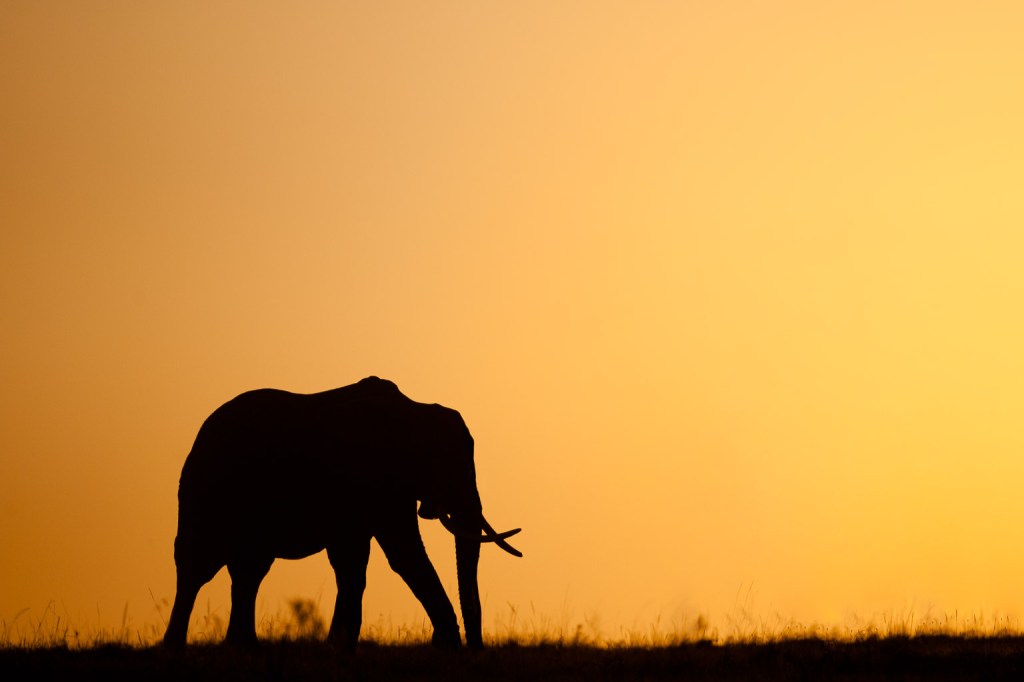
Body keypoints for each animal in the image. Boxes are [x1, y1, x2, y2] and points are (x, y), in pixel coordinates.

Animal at [162, 376, 521, 650]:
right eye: (449, 468)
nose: (475, 648)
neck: (414, 410)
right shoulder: (376, 479)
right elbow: (403, 554)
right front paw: (447, 644)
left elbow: (352, 562)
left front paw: (339, 646)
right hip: (207, 492)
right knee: (198, 565)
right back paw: (176, 646)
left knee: (249, 570)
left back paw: (243, 647)